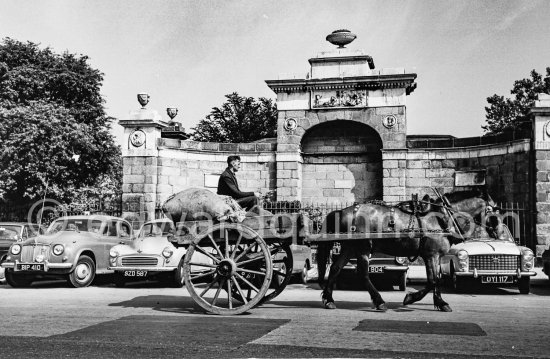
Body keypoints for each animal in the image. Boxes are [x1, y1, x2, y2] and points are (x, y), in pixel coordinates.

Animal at [314, 190, 500, 314]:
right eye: (492, 210)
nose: (498, 232)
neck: (442, 217)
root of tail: (341, 211)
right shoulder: (431, 254)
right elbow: (433, 280)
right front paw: (412, 298)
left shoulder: (436, 256)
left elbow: (437, 279)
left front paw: (439, 302)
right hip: (362, 246)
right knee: (362, 273)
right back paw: (379, 301)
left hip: (350, 246)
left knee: (335, 268)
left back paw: (329, 299)